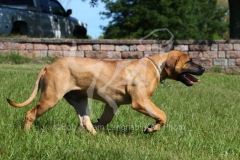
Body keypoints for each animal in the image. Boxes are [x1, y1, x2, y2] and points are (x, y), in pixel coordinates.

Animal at [6, 50, 204, 134]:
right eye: (189, 61)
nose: (203, 68)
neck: (156, 65)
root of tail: (48, 66)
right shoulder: (141, 102)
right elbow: (162, 115)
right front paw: (150, 129)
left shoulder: (112, 104)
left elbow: (104, 120)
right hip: (50, 98)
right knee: (30, 114)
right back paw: (26, 133)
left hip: (80, 101)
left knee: (85, 121)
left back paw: (94, 136)